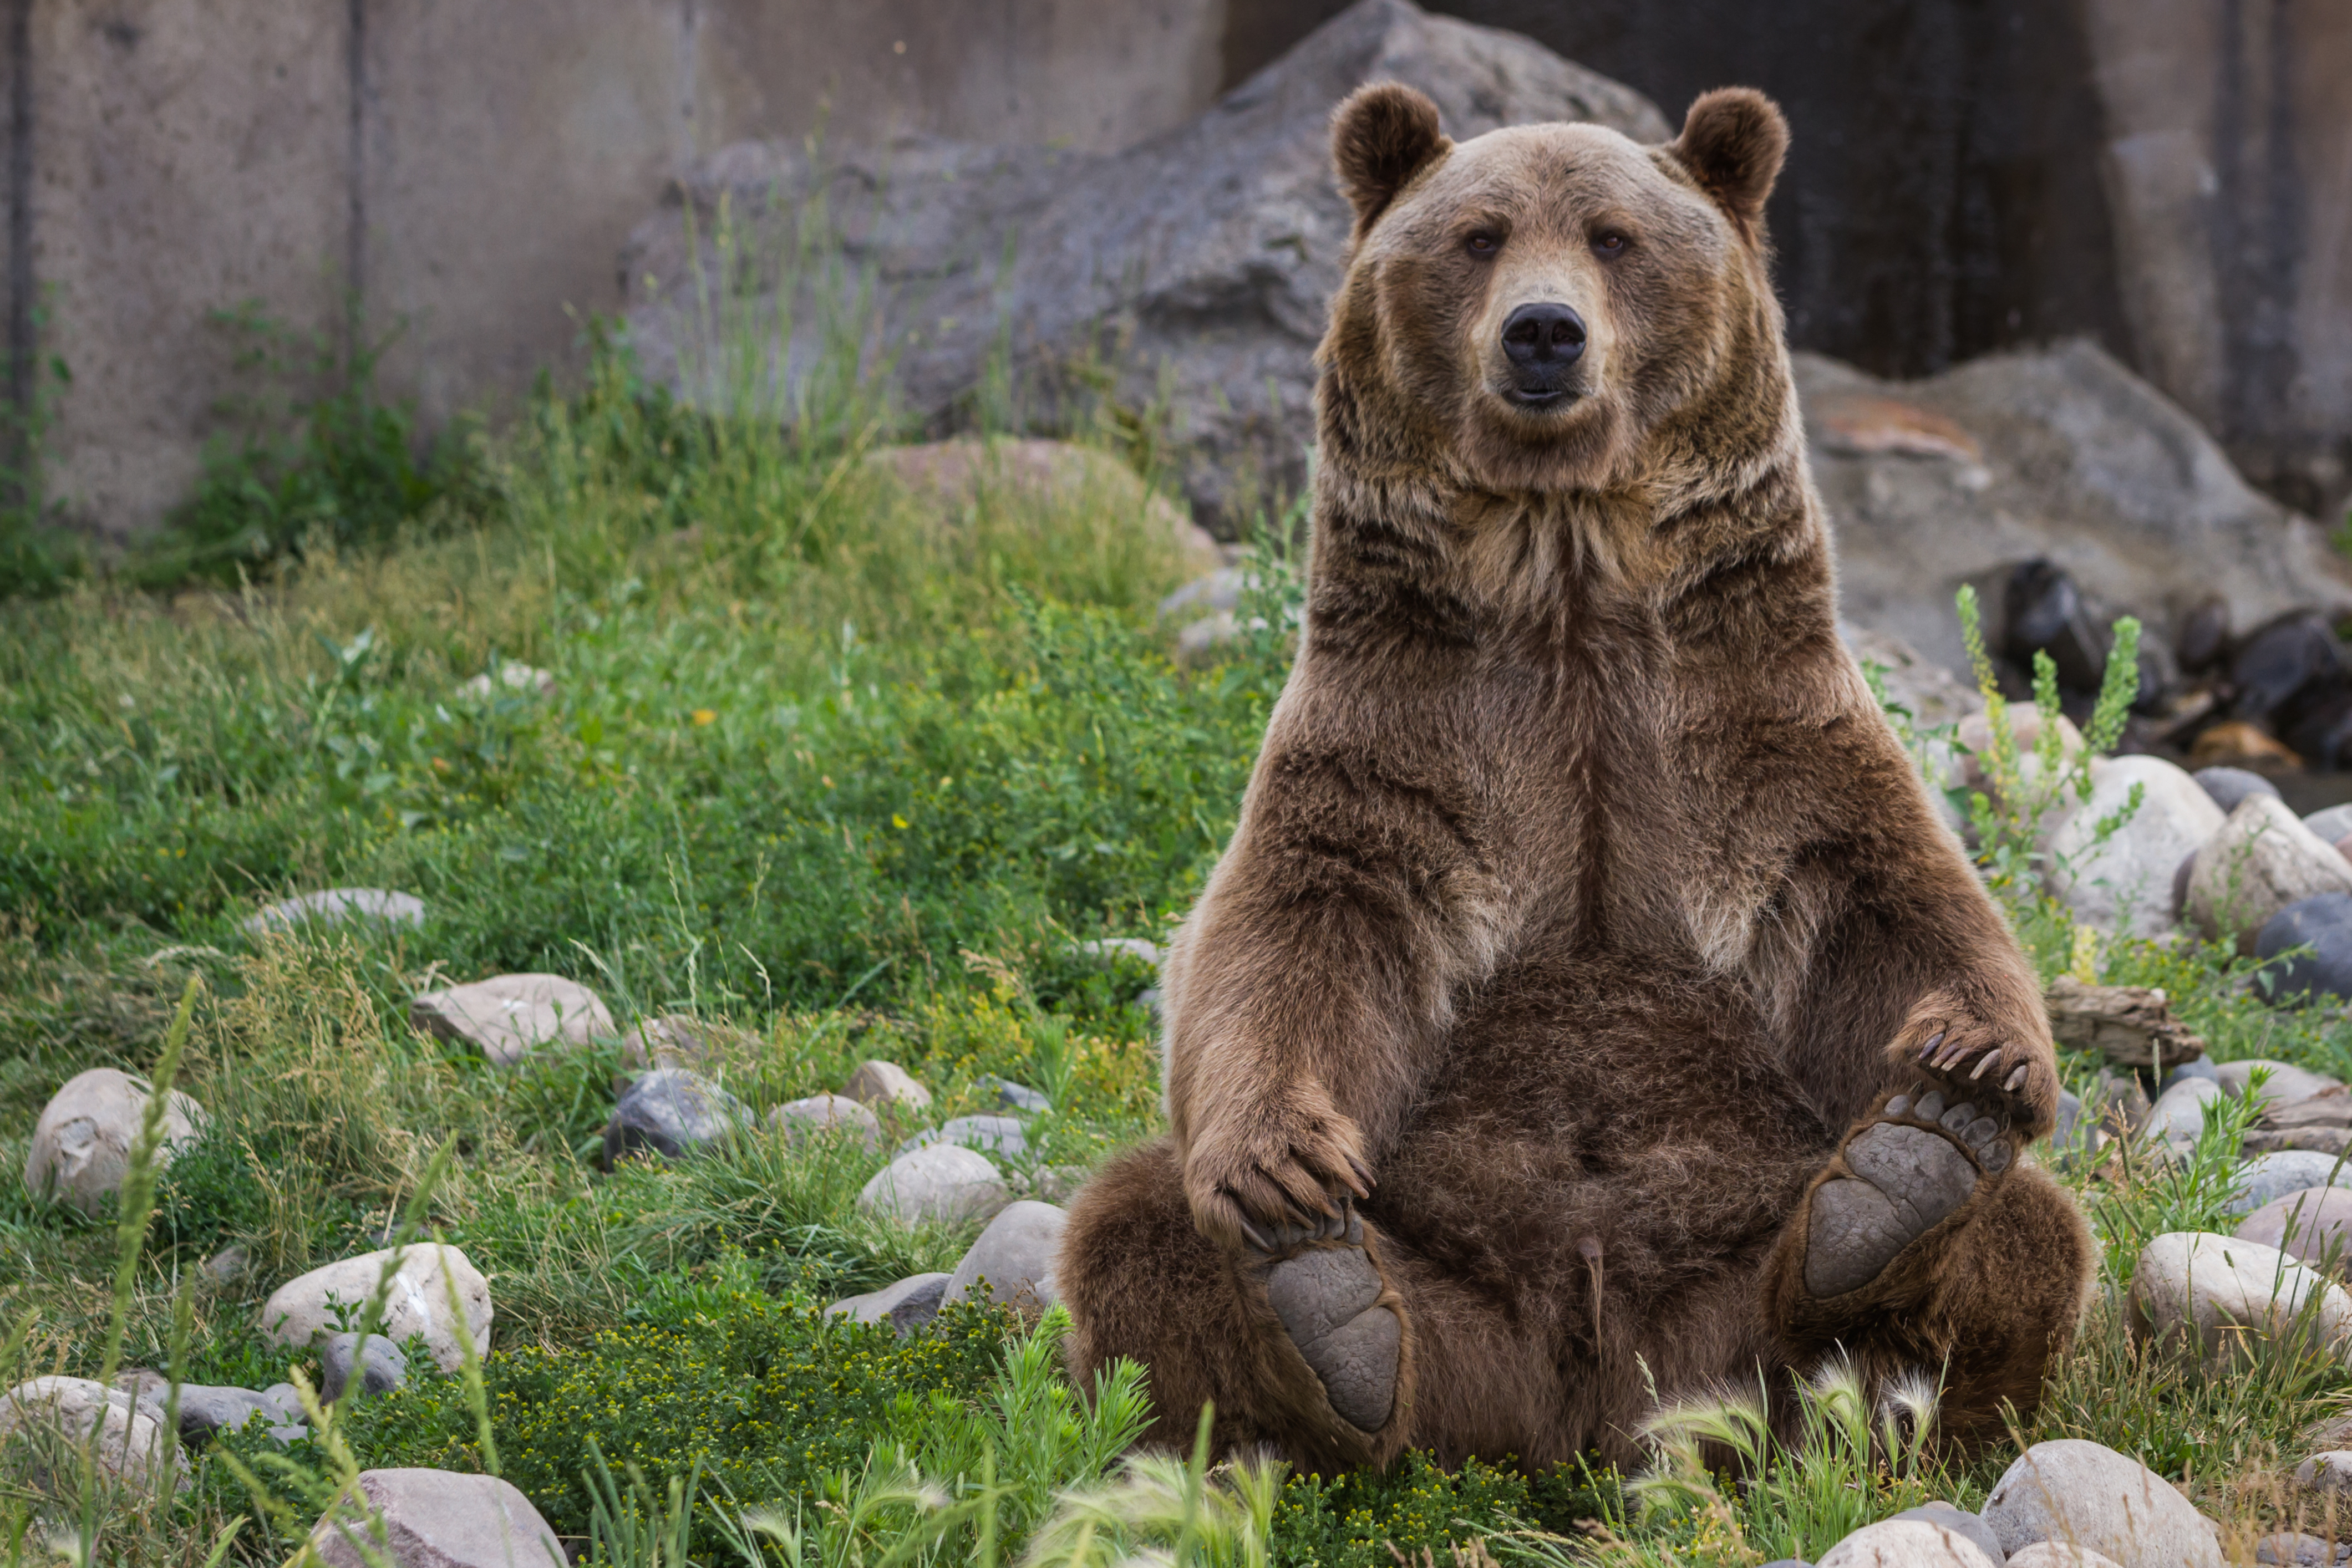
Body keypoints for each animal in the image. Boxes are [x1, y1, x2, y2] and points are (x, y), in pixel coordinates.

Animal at [1058, 80, 2089, 1467]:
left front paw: (1969, 1067)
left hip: (1733, 1277)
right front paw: (1277, 1169)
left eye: (1612, 236)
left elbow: (1888, 901)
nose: (1541, 333)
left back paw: (1900, 1188)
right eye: (1477, 235)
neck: (1567, 580)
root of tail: (1588, 1395)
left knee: (2027, 1233)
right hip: (1448, 1287)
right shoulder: (1402, 742)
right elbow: (1289, 934)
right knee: (1131, 1226)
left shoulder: (1755, 730)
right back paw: (1327, 1318)